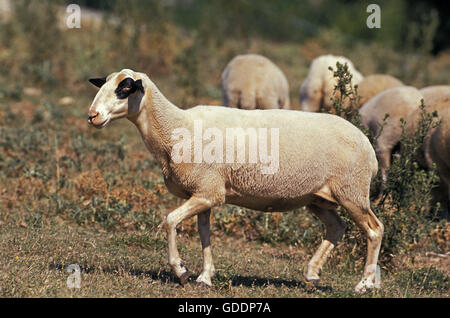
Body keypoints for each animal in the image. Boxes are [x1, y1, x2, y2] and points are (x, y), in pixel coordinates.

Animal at [88, 68, 384, 292]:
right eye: (104, 84)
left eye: (125, 88)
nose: (92, 116)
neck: (175, 128)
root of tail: (369, 148)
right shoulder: (204, 191)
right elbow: (204, 233)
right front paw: (205, 277)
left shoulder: (208, 192)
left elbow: (170, 221)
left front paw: (182, 271)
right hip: (318, 197)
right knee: (336, 227)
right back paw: (312, 273)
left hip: (352, 191)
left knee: (374, 230)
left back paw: (365, 284)